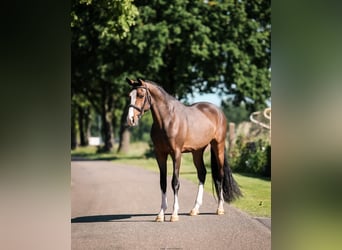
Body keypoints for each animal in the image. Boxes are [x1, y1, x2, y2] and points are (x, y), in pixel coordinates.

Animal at [127, 77, 242, 222]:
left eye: (141, 95)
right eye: (129, 96)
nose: (130, 119)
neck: (167, 120)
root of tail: (217, 110)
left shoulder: (176, 154)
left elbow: (175, 182)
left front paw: (174, 214)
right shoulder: (160, 154)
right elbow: (163, 183)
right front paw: (161, 214)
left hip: (218, 146)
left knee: (220, 175)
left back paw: (220, 208)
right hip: (197, 151)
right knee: (202, 174)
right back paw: (195, 209)